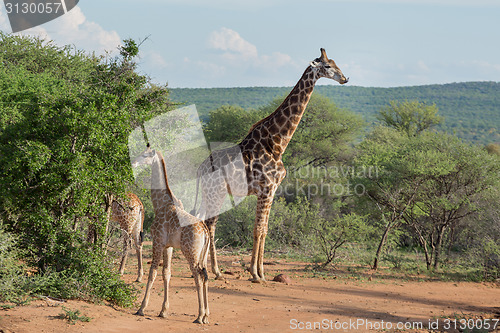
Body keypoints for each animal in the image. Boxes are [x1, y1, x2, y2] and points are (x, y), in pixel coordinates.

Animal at [132, 143, 210, 324]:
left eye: (145, 155)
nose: (134, 162)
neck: (160, 203)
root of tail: (205, 231)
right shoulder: (169, 246)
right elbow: (166, 273)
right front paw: (164, 311)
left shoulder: (158, 241)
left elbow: (153, 272)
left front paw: (141, 308)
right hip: (202, 254)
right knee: (205, 275)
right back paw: (206, 315)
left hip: (191, 252)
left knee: (198, 275)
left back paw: (199, 316)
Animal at [191, 48, 348, 282]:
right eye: (328, 66)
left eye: (336, 63)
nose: (345, 78)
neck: (276, 144)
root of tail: (199, 169)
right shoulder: (265, 189)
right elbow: (258, 229)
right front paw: (255, 274)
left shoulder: (272, 190)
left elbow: (264, 229)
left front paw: (262, 273)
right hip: (215, 192)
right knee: (210, 224)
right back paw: (215, 271)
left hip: (211, 193)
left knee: (202, 220)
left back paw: (204, 267)